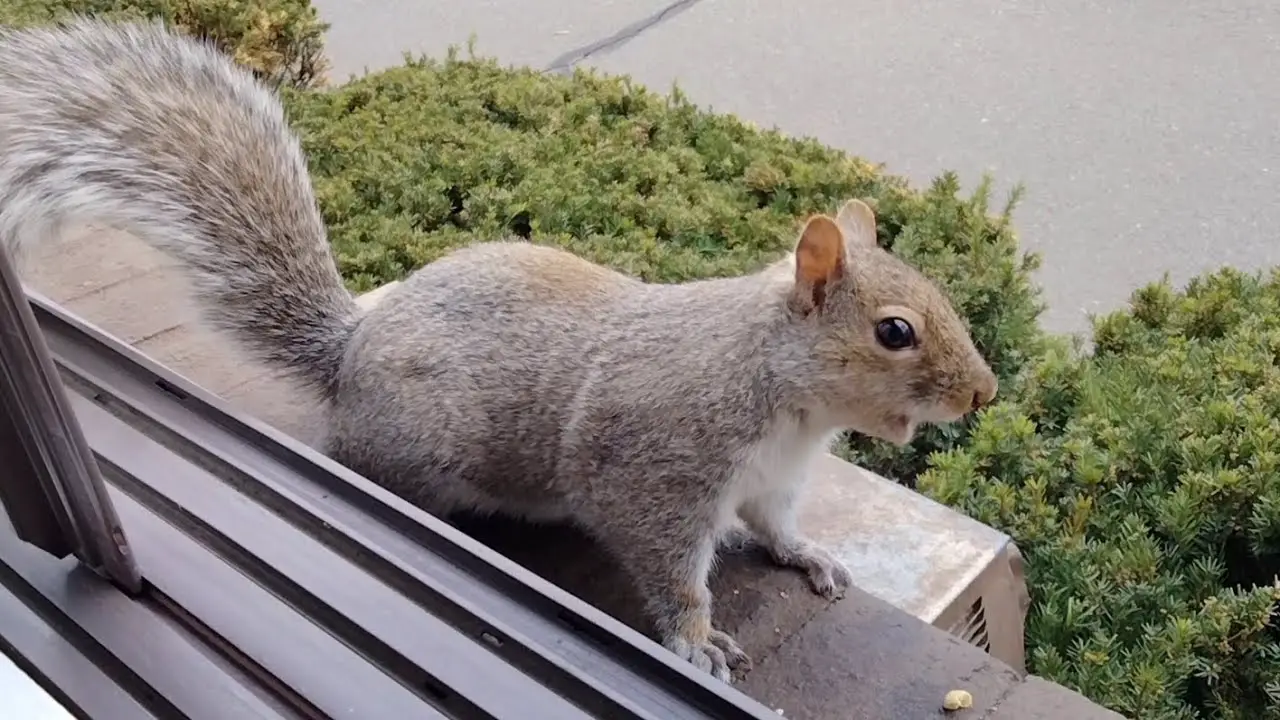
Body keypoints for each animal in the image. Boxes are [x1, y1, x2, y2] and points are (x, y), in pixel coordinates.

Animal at [0, 16, 998, 676]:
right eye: (896, 332)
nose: (983, 394)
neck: (788, 401)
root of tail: (351, 354)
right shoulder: (657, 468)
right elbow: (670, 566)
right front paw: (697, 640)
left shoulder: (774, 479)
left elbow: (778, 527)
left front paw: (810, 556)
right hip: (417, 444)